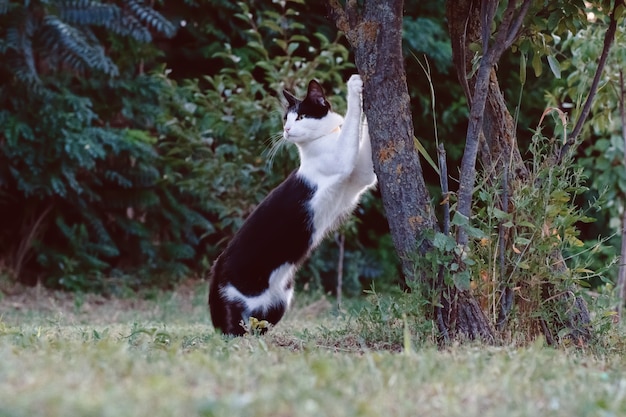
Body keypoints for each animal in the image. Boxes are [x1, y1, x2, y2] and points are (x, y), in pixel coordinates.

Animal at [208, 74, 376, 334]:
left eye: (301, 116)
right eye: (286, 118)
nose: (286, 129)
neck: (324, 140)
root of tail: (216, 270)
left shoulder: (361, 175)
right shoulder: (340, 160)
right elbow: (351, 123)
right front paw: (354, 84)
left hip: (281, 299)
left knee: (260, 325)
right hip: (236, 303)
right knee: (234, 330)